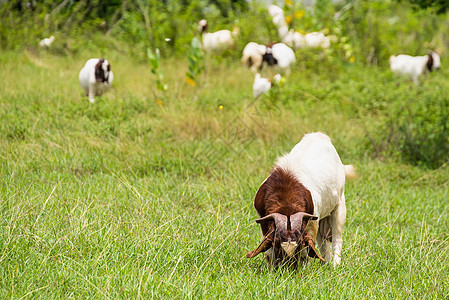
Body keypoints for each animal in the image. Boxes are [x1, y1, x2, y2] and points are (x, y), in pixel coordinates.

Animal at [247, 132, 356, 268]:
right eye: (277, 243)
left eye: (299, 243)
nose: (288, 268)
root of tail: (319, 135)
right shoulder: (263, 221)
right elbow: (268, 251)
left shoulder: (312, 221)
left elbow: (308, 249)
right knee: (323, 243)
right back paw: (326, 264)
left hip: (339, 206)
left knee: (336, 237)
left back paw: (335, 265)